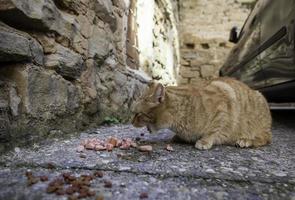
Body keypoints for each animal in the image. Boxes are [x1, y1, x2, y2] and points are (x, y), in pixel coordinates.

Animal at [132, 77, 272, 149]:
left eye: (138, 114)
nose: (131, 121)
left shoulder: (223, 107)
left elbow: (214, 131)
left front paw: (204, 141)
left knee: (266, 138)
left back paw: (246, 140)